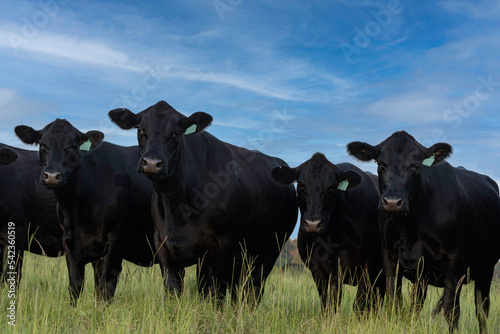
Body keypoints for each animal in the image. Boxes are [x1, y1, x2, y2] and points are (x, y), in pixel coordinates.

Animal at [15, 120, 156, 306]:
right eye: (42, 144)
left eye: (73, 146)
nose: (52, 176)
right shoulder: (69, 242)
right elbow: (76, 285)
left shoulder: (117, 238)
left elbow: (105, 287)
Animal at [108, 100, 296, 304]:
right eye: (140, 129)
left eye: (177, 132)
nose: (151, 162)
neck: (178, 208)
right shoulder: (163, 245)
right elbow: (174, 292)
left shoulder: (223, 246)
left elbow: (216, 296)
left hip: (268, 253)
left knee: (251, 292)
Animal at [272, 153, 384, 312]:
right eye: (300, 184)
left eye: (332, 187)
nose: (313, 223)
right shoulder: (320, 269)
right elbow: (329, 304)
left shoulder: (370, 264)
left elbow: (361, 304)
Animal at [348, 132, 500, 332]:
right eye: (380, 163)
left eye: (416, 165)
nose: (392, 202)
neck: (409, 228)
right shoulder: (390, 257)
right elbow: (395, 302)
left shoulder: (454, 261)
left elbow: (450, 310)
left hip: (485, 269)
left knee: (482, 310)